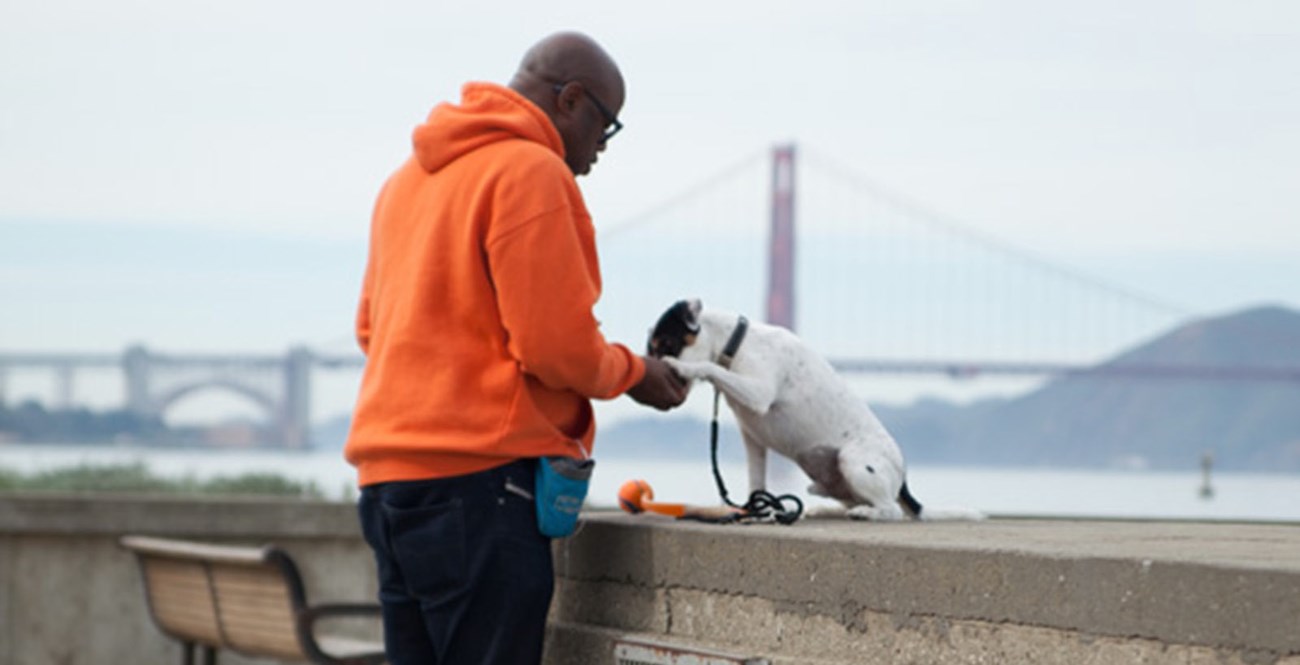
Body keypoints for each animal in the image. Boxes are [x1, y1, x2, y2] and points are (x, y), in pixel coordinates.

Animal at [644, 298, 977, 522]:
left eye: (666, 345)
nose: (652, 366)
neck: (737, 344)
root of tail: (903, 479)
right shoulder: (753, 440)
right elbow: (756, 485)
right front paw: (756, 512)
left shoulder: (759, 392)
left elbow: (710, 366)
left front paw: (684, 366)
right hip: (829, 483)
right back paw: (819, 510)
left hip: (854, 461)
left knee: (891, 510)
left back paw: (865, 513)